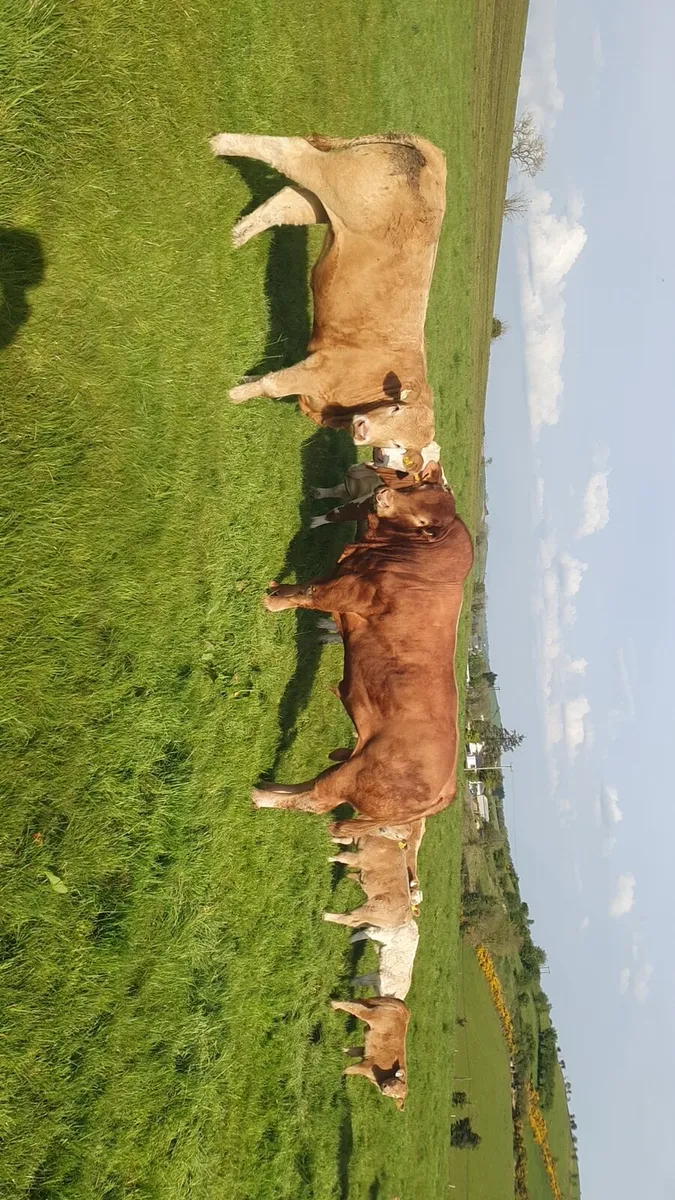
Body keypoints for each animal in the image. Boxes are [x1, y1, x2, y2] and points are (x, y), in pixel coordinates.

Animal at [210, 131, 447, 450]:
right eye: (395, 409)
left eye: (398, 445)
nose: (363, 430)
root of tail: (431, 156)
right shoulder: (321, 371)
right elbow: (273, 386)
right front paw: (231, 396)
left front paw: (243, 382)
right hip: (336, 182)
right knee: (292, 152)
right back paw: (218, 144)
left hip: (327, 205)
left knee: (285, 201)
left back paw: (235, 236)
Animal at [252, 469, 474, 829]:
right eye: (416, 489)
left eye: (423, 521)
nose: (383, 495)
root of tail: (447, 790)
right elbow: (303, 586)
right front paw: (278, 589)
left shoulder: (347, 592)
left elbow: (308, 593)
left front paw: (272, 602)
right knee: (315, 784)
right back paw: (270, 786)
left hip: (356, 777)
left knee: (315, 799)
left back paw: (261, 796)